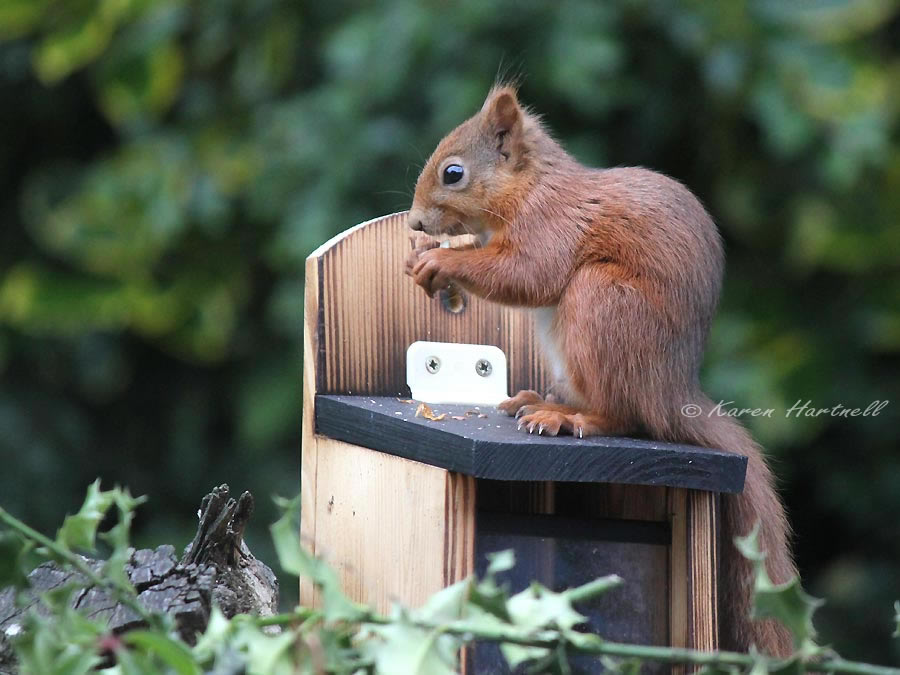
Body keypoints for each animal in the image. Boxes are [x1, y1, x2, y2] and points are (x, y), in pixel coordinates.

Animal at [408, 83, 796, 656]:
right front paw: (423, 255)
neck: (529, 189)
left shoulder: (550, 228)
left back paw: (570, 419)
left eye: (453, 173)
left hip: (602, 304)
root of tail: (672, 390)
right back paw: (540, 401)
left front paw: (442, 261)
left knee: (625, 417)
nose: (414, 223)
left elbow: (525, 274)